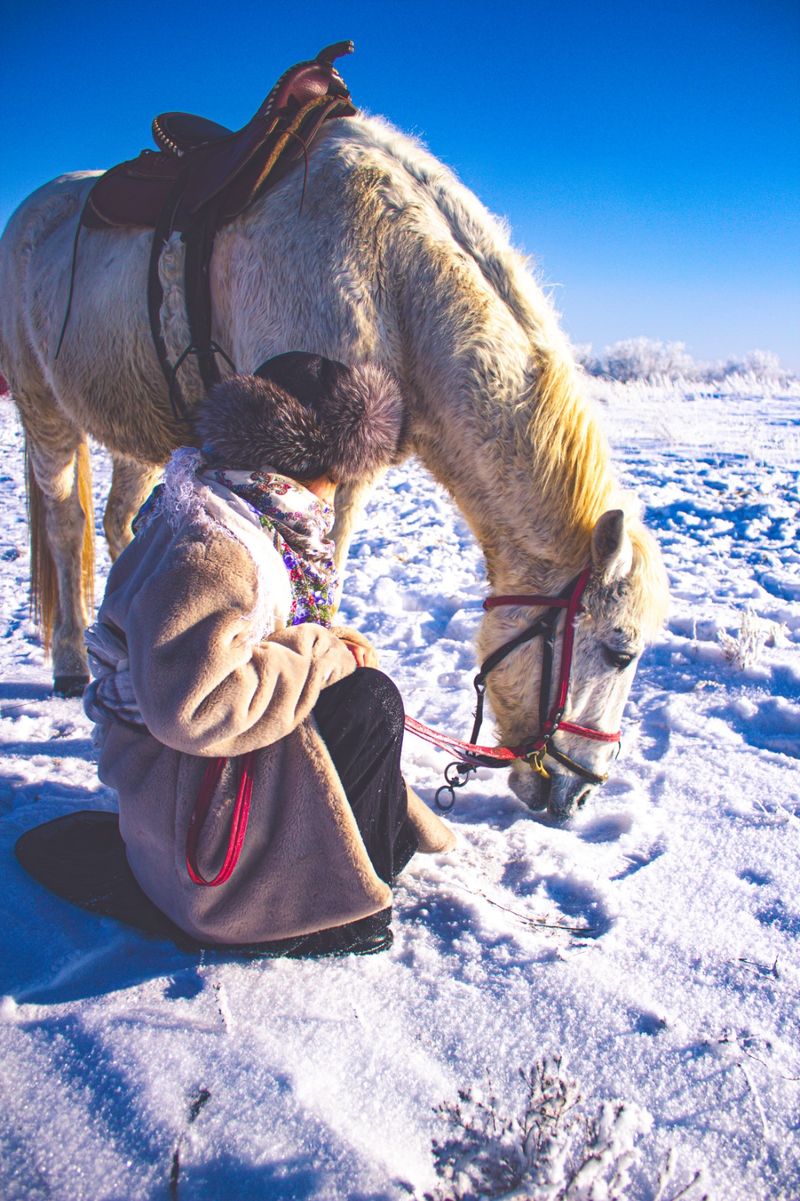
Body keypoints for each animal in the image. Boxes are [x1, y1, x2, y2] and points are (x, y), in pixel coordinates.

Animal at [0, 111, 669, 819]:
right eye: (619, 651)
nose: (579, 792)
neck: (393, 278)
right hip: (44, 411)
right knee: (65, 525)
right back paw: (69, 662)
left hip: (134, 433)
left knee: (118, 523)